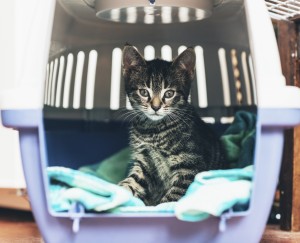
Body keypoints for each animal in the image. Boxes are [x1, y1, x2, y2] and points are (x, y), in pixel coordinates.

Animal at [118, 44, 224, 206]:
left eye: (169, 94)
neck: (153, 130)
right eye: (143, 92)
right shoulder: (144, 162)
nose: (155, 107)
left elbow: (173, 196)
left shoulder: (190, 166)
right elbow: (133, 181)